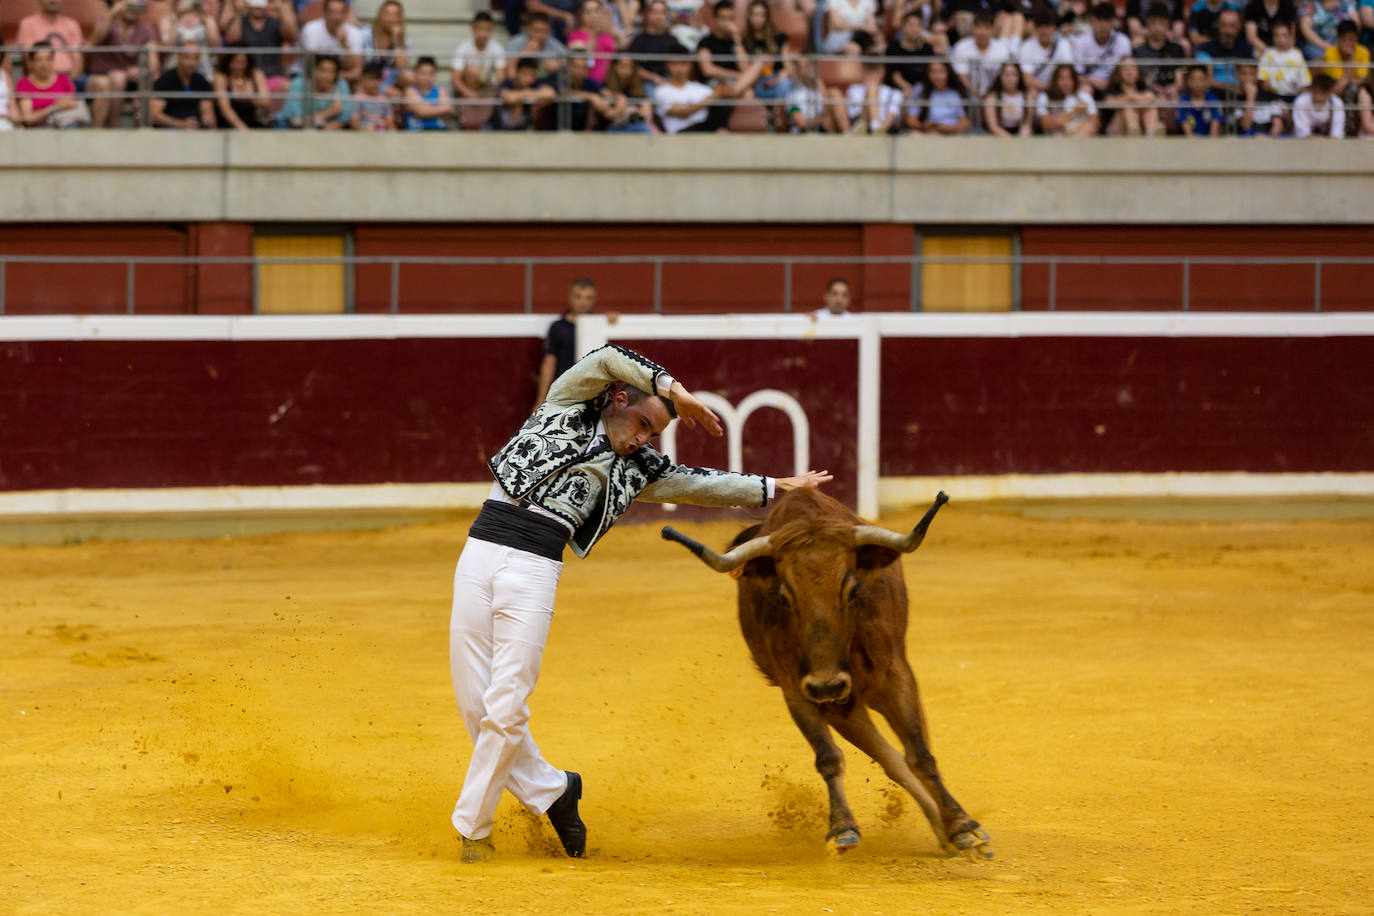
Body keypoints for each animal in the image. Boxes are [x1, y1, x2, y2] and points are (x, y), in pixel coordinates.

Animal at [662, 491, 994, 856]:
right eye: (784, 596)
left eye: (851, 589)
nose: (828, 685)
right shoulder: (800, 689)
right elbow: (829, 756)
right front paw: (842, 828)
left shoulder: (895, 674)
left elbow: (920, 753)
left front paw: (963, 826)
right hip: (843, 707)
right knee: (890, 758)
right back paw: (938, 826)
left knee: (908, 750)